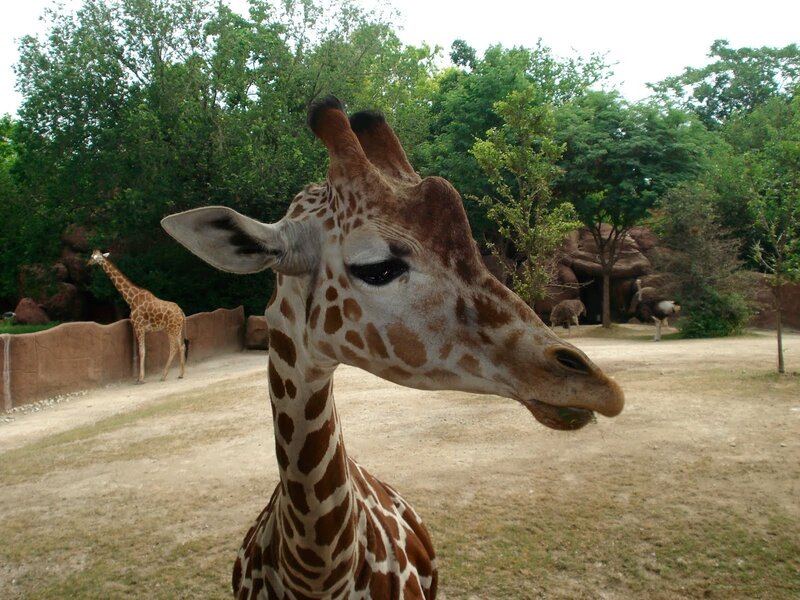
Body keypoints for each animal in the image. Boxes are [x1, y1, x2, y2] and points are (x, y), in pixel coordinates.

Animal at [88, 250, 187, 383]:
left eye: (93, 257)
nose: (88, 263)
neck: (131, 298)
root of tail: (181, 311)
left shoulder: (138, 326)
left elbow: (142, 351)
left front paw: (140, 378)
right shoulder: (139, 328)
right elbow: (142, 351)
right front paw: (141, 376)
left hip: (172, 329)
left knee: (174, 348)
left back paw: (164, 375)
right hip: (176, 329)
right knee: (182, 346)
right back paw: (181, 374)